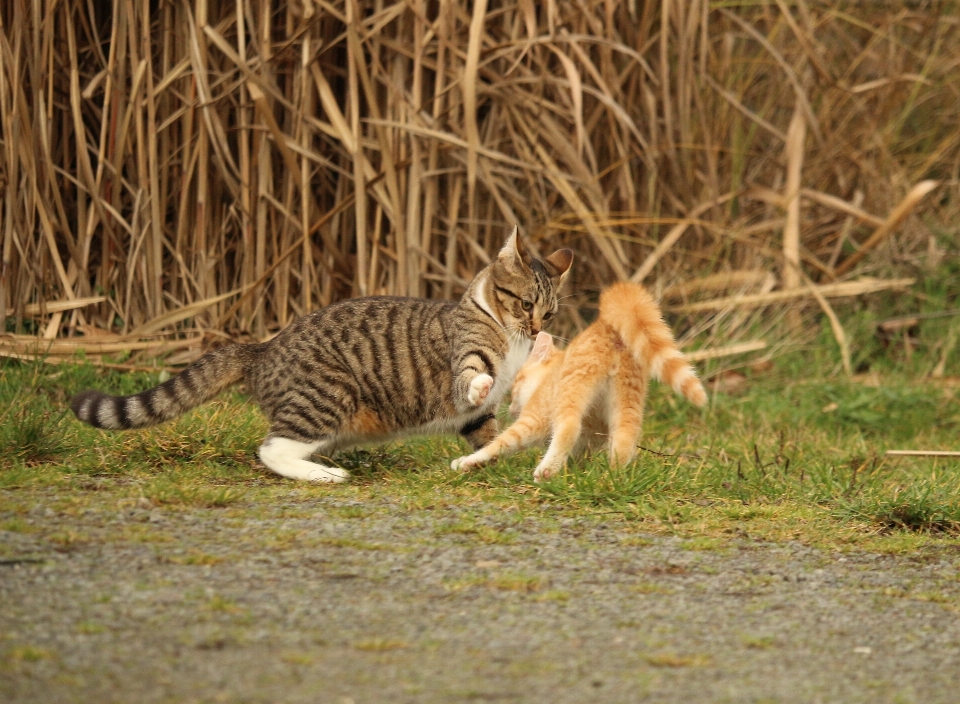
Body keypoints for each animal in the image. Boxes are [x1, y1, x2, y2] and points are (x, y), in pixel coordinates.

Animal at [75, 228, 572, 482]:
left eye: (548, 313)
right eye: (524, 304)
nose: (536, 329)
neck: (509, 338)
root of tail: (262, 348)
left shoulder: (476, 418)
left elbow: (487, 436)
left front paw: (487, 460)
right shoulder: (466, 355)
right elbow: (471, 375)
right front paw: (483, 383)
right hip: (327, 395)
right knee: (271, 449)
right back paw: (323, 476)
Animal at [450, 284, 704, 482]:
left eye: (516, 385)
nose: (511, 407)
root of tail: (609, 329)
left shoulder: (536, 416)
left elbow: (500, 444)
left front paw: (468, 462)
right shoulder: (592, 436)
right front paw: (576, 470)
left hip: (571, 390)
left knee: (569, 426)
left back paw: (546, 471)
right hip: (628, 400)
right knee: (625, 437)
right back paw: (612, 478)